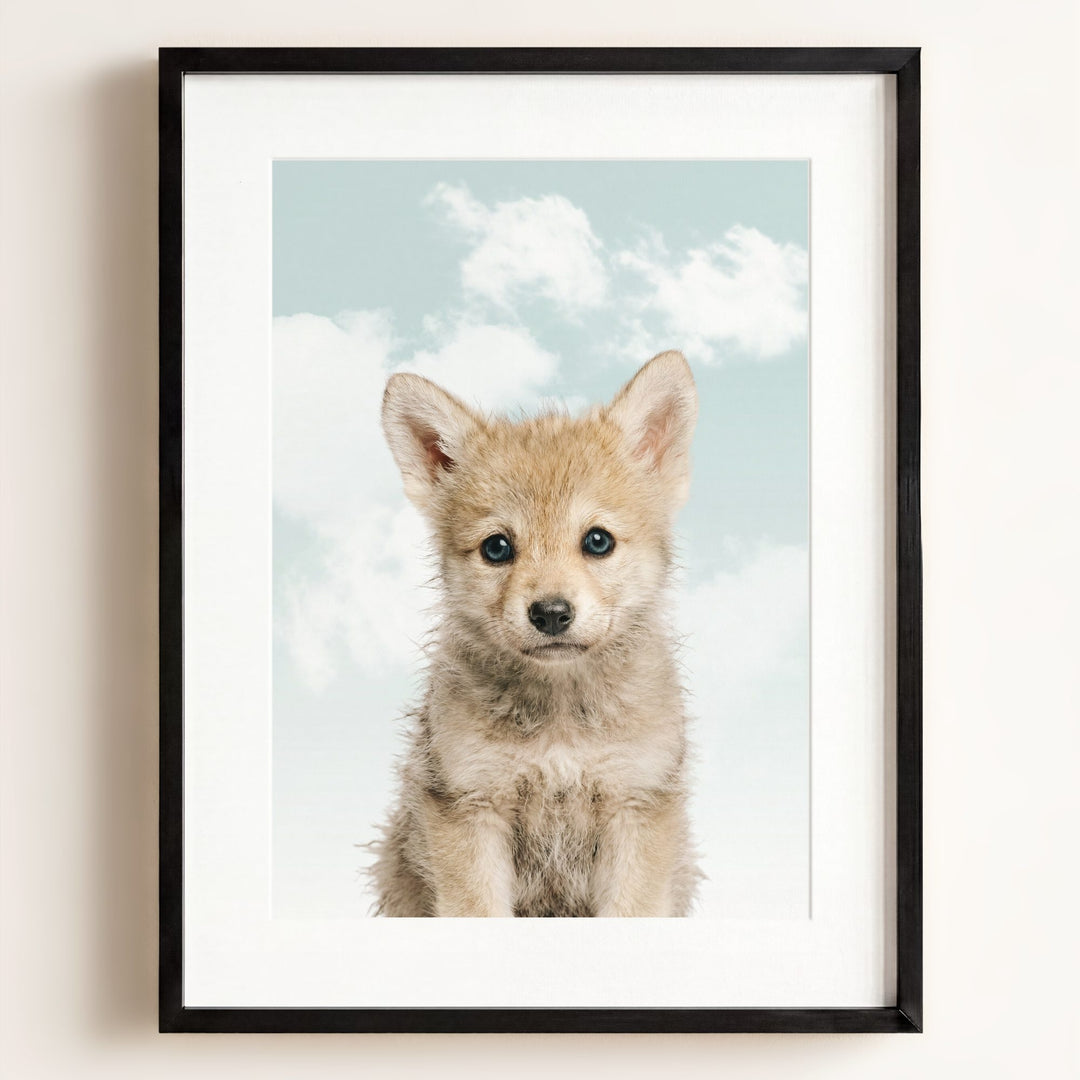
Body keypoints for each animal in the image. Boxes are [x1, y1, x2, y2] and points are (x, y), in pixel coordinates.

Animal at [370, 350, 700, 917]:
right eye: (497, 548)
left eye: (597, 541)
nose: (550, 613)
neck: (560, 724)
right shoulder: (470, 807)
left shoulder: (636, 805)